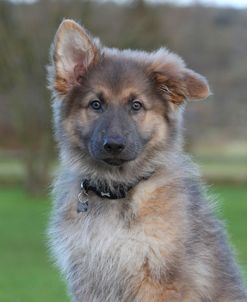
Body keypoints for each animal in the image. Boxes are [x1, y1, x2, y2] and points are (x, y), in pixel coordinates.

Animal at [47, 20, 246, 300]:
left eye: (136, 105)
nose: (114, 145)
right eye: (96, 104)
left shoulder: (158, 280)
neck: (117, 191)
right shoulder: (88, 278)